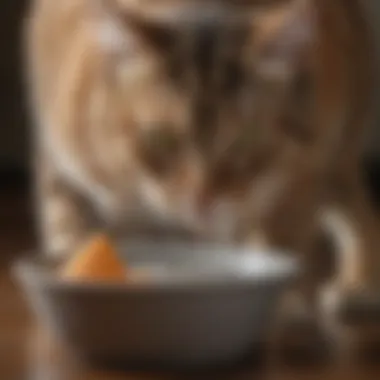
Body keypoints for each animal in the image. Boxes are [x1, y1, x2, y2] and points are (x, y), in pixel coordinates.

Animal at [25, 0, 378, 354]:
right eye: (162, 141)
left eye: (245, 143)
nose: (203, 198)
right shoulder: (66, 170)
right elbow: (72, 233)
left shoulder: (301, 173)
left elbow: (281, 246)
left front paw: (288, 308)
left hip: (338, 152)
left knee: (358, 213)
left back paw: (358, 286)